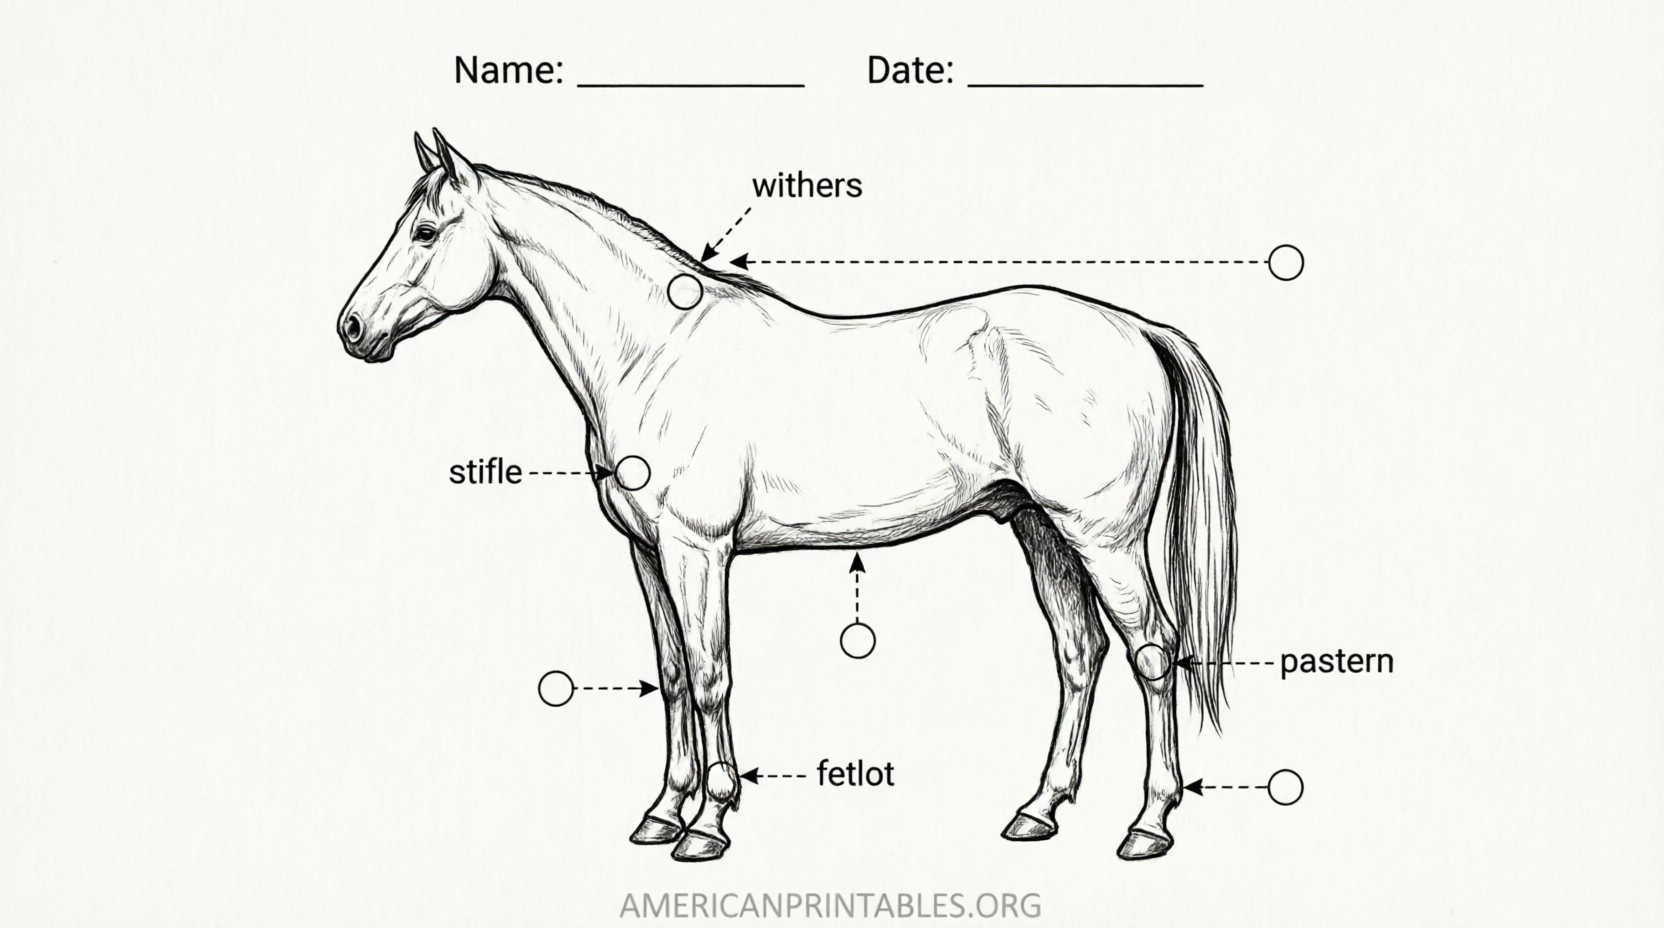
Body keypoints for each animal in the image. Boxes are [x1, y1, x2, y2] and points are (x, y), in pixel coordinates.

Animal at [336, 131, 1237, 863]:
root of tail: (1139, 329)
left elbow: (710, 674)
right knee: (1079, 653)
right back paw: (1038, 811)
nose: (352, 329)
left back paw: (1148, 825)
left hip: (1103, 536)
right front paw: (661, 813)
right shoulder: (647, 552)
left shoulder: (697, 548)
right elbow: (671, 674)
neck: (653, 353)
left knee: (1153, 651)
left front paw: (707, 825)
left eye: (425, 231)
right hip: (1040, 529)